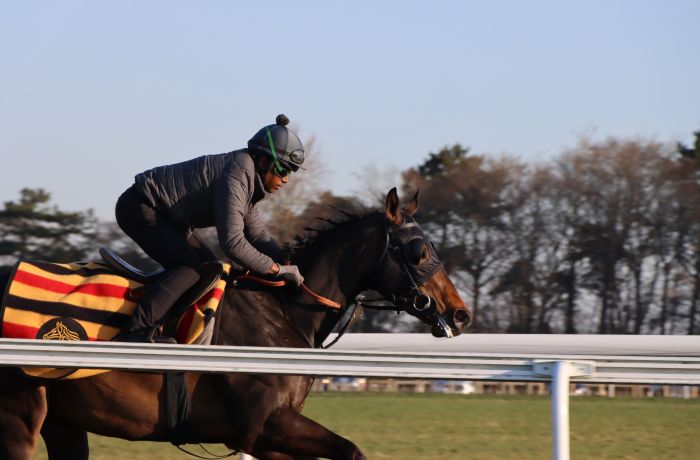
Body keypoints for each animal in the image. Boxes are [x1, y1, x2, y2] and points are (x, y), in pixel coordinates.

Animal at [0, 188, 472, 460]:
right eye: (418, 250)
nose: (460, 313)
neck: (284, 312)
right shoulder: (263, 426)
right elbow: (352, 452)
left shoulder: (263, 439)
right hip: (21, 415)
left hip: (63, 421)